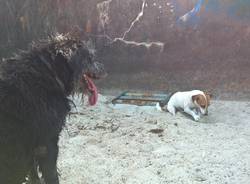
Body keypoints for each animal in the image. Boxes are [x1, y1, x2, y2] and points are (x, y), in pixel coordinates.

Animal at [0, 33, 106, 184]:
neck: (49, 73)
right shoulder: (47, 143)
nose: (105, 70)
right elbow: (51, 175)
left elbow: (34, 174)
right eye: (90, 58)